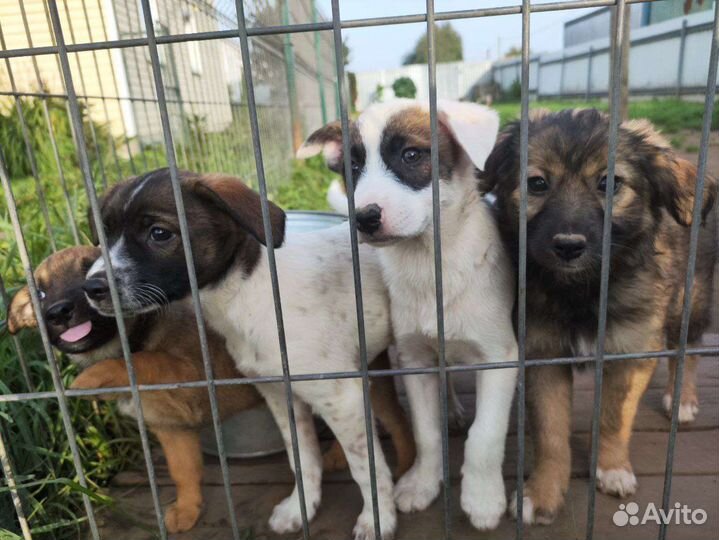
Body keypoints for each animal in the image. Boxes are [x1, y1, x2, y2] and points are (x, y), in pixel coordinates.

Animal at [300, 99, 520, 528]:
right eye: (353, 166)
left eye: (412, 156)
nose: (364, 217)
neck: (429, 264)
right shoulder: (414, 358)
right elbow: (426, 433)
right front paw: (422, 483)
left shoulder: (499, 358)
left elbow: (485, 435)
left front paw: (483, 498)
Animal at [478, 107, 719, 524]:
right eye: (537, 183)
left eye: (610, 183)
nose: (568, 246)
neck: (583, 289)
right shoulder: (543, 354)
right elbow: (551, 431)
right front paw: (543, 492)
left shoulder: (631, 352)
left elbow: (614, 417)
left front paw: (612, 468)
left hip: (692, 297)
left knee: (686, 350)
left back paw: (682, 399)